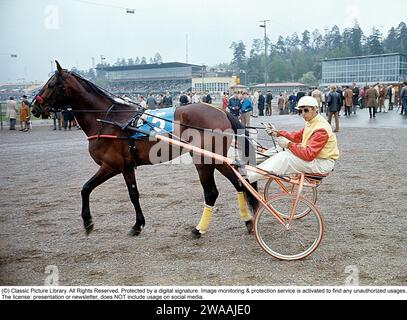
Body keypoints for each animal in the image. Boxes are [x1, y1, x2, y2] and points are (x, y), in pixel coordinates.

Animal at [32, 62, 262, 238]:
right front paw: (136, 224)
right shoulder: (124, 166)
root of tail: (221, 112)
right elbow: (128, 193)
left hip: (204, 159)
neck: (109, 120)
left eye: (50, 84)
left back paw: (199, 229)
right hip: (216, 159)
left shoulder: (112, 165)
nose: (35, 107)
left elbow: (88, 188)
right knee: (239, 184)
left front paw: (90, 222)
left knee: (212, 192)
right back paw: (248, 222)